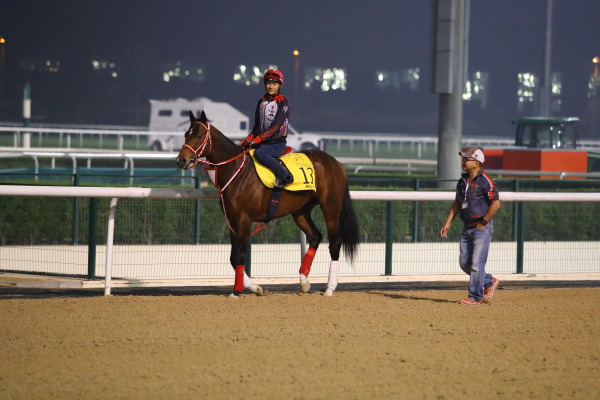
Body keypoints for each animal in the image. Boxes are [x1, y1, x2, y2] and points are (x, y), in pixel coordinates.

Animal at [176, 111, 358, 298]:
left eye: (199, 135)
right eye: (186, 134)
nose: (181, 160)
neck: (238, 172)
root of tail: (337, 163)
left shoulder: (244, 219)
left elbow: (240, 256)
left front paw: (236, 291)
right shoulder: (232, 220)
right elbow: (233, 258)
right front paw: (255, 287)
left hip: (331, 208)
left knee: (335, 244)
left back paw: (329, 288)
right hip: (300, 211)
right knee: (315, 237)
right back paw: (304, 281)